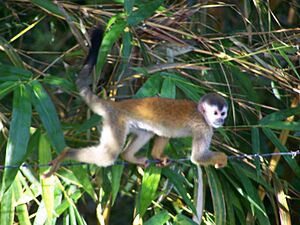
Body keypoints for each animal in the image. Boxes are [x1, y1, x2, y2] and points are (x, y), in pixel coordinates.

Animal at [43, 27, 229, 177]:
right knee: (107, 157)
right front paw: (222, 158)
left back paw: (128, 156)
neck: (201, 114)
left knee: (146, 133)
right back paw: (67, 153)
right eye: (216, 113)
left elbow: (164, 134)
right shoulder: (204, 128)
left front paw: (157, 156)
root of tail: (115, 105)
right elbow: (197, 158)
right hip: (116, 122)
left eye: (223, 113)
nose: (220, 120)